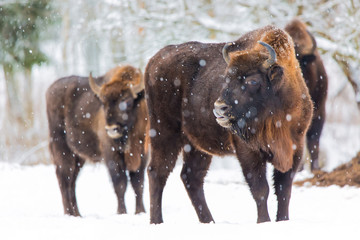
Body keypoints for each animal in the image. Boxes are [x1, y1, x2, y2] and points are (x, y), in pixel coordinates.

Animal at [46, 65, 149, 216]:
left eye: (127, 100)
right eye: (103, 102)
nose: (112, 128)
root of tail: (50, 90)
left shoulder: (142, 154)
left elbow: (138, 184)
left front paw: (140, 212)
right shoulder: (111, 155)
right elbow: (120, 184)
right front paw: (122, 212)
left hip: (79, 157)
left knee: (72, 181)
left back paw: (77, 214)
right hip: (62, 149)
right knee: (64, 177)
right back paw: (69, 213)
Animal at [145, 25, 314, 224]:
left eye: (253, 80)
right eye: (226, 77)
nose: (220, 108)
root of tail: (154, 61)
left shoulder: (295, 148)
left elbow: (284, 190)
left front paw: (282, 220)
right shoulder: (248, 151)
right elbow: (260, 189)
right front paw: (263, 221)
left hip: (195, 146)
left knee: (191, 177)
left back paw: (209, 222)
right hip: (164, 133)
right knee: (157, 172)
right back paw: (157, 221)